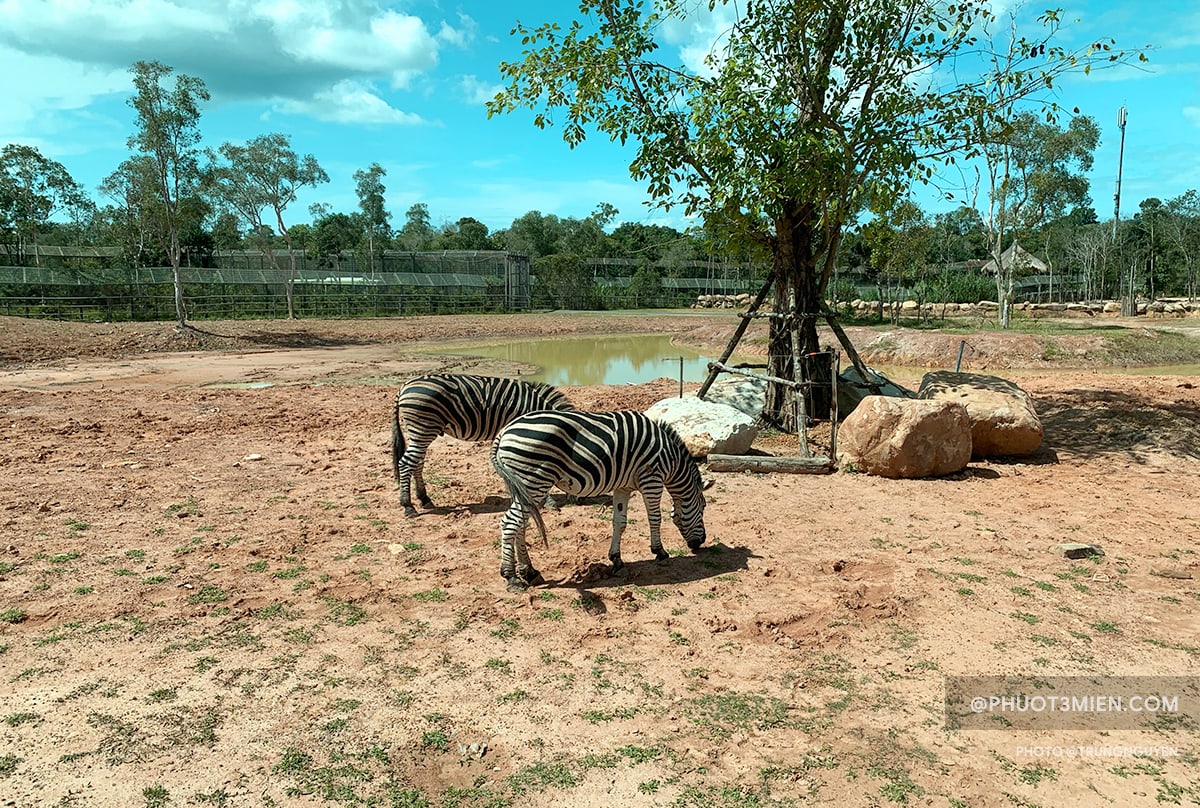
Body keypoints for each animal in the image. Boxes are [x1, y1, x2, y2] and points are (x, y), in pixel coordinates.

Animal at [391, 374, 573, 516]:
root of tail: (404, 386)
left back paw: (424, 499)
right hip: (423, 427)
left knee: (417, 463)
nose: (574, 500)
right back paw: (408, 506)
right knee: (406, 463)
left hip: (421, 432)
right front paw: (548, 502)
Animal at [489, 413, 705, 588]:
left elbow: (620, 522)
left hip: (522, 486)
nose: (701, 542)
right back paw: (511, 576)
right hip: (534, 480)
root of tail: (504, 431)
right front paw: (659, 551)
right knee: (510, 522)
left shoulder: (623, 486)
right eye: (703, 508)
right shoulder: (652, 478)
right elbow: (655, 518)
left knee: (521, 524)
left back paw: (529, 571)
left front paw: (617, 561)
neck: (672, 459)